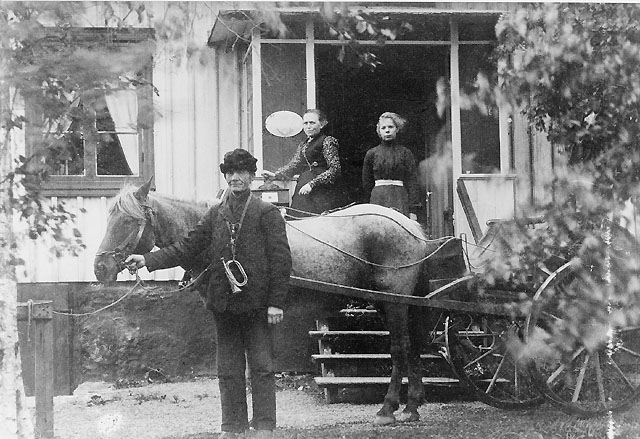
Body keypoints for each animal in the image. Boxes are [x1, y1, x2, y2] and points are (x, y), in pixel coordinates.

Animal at [94, 179, 466, 426]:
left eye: (128, 220)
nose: (100, 267)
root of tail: (410, 227)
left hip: (395, 302)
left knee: (401, 348)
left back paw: (390, 408)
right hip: (392, 302)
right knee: (413, 346)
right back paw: (412, 406)